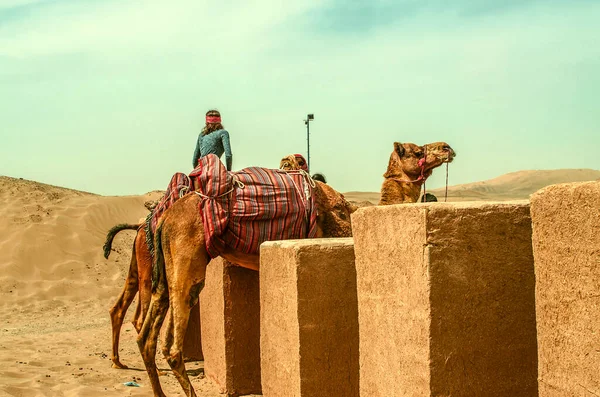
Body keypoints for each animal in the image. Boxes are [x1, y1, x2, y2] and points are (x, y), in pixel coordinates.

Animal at [136, 173, 356, 396]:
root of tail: (165, 219)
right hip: (186, 267)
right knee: (172, 346)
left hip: (165, 273)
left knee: (149, 335)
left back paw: (160, 391)